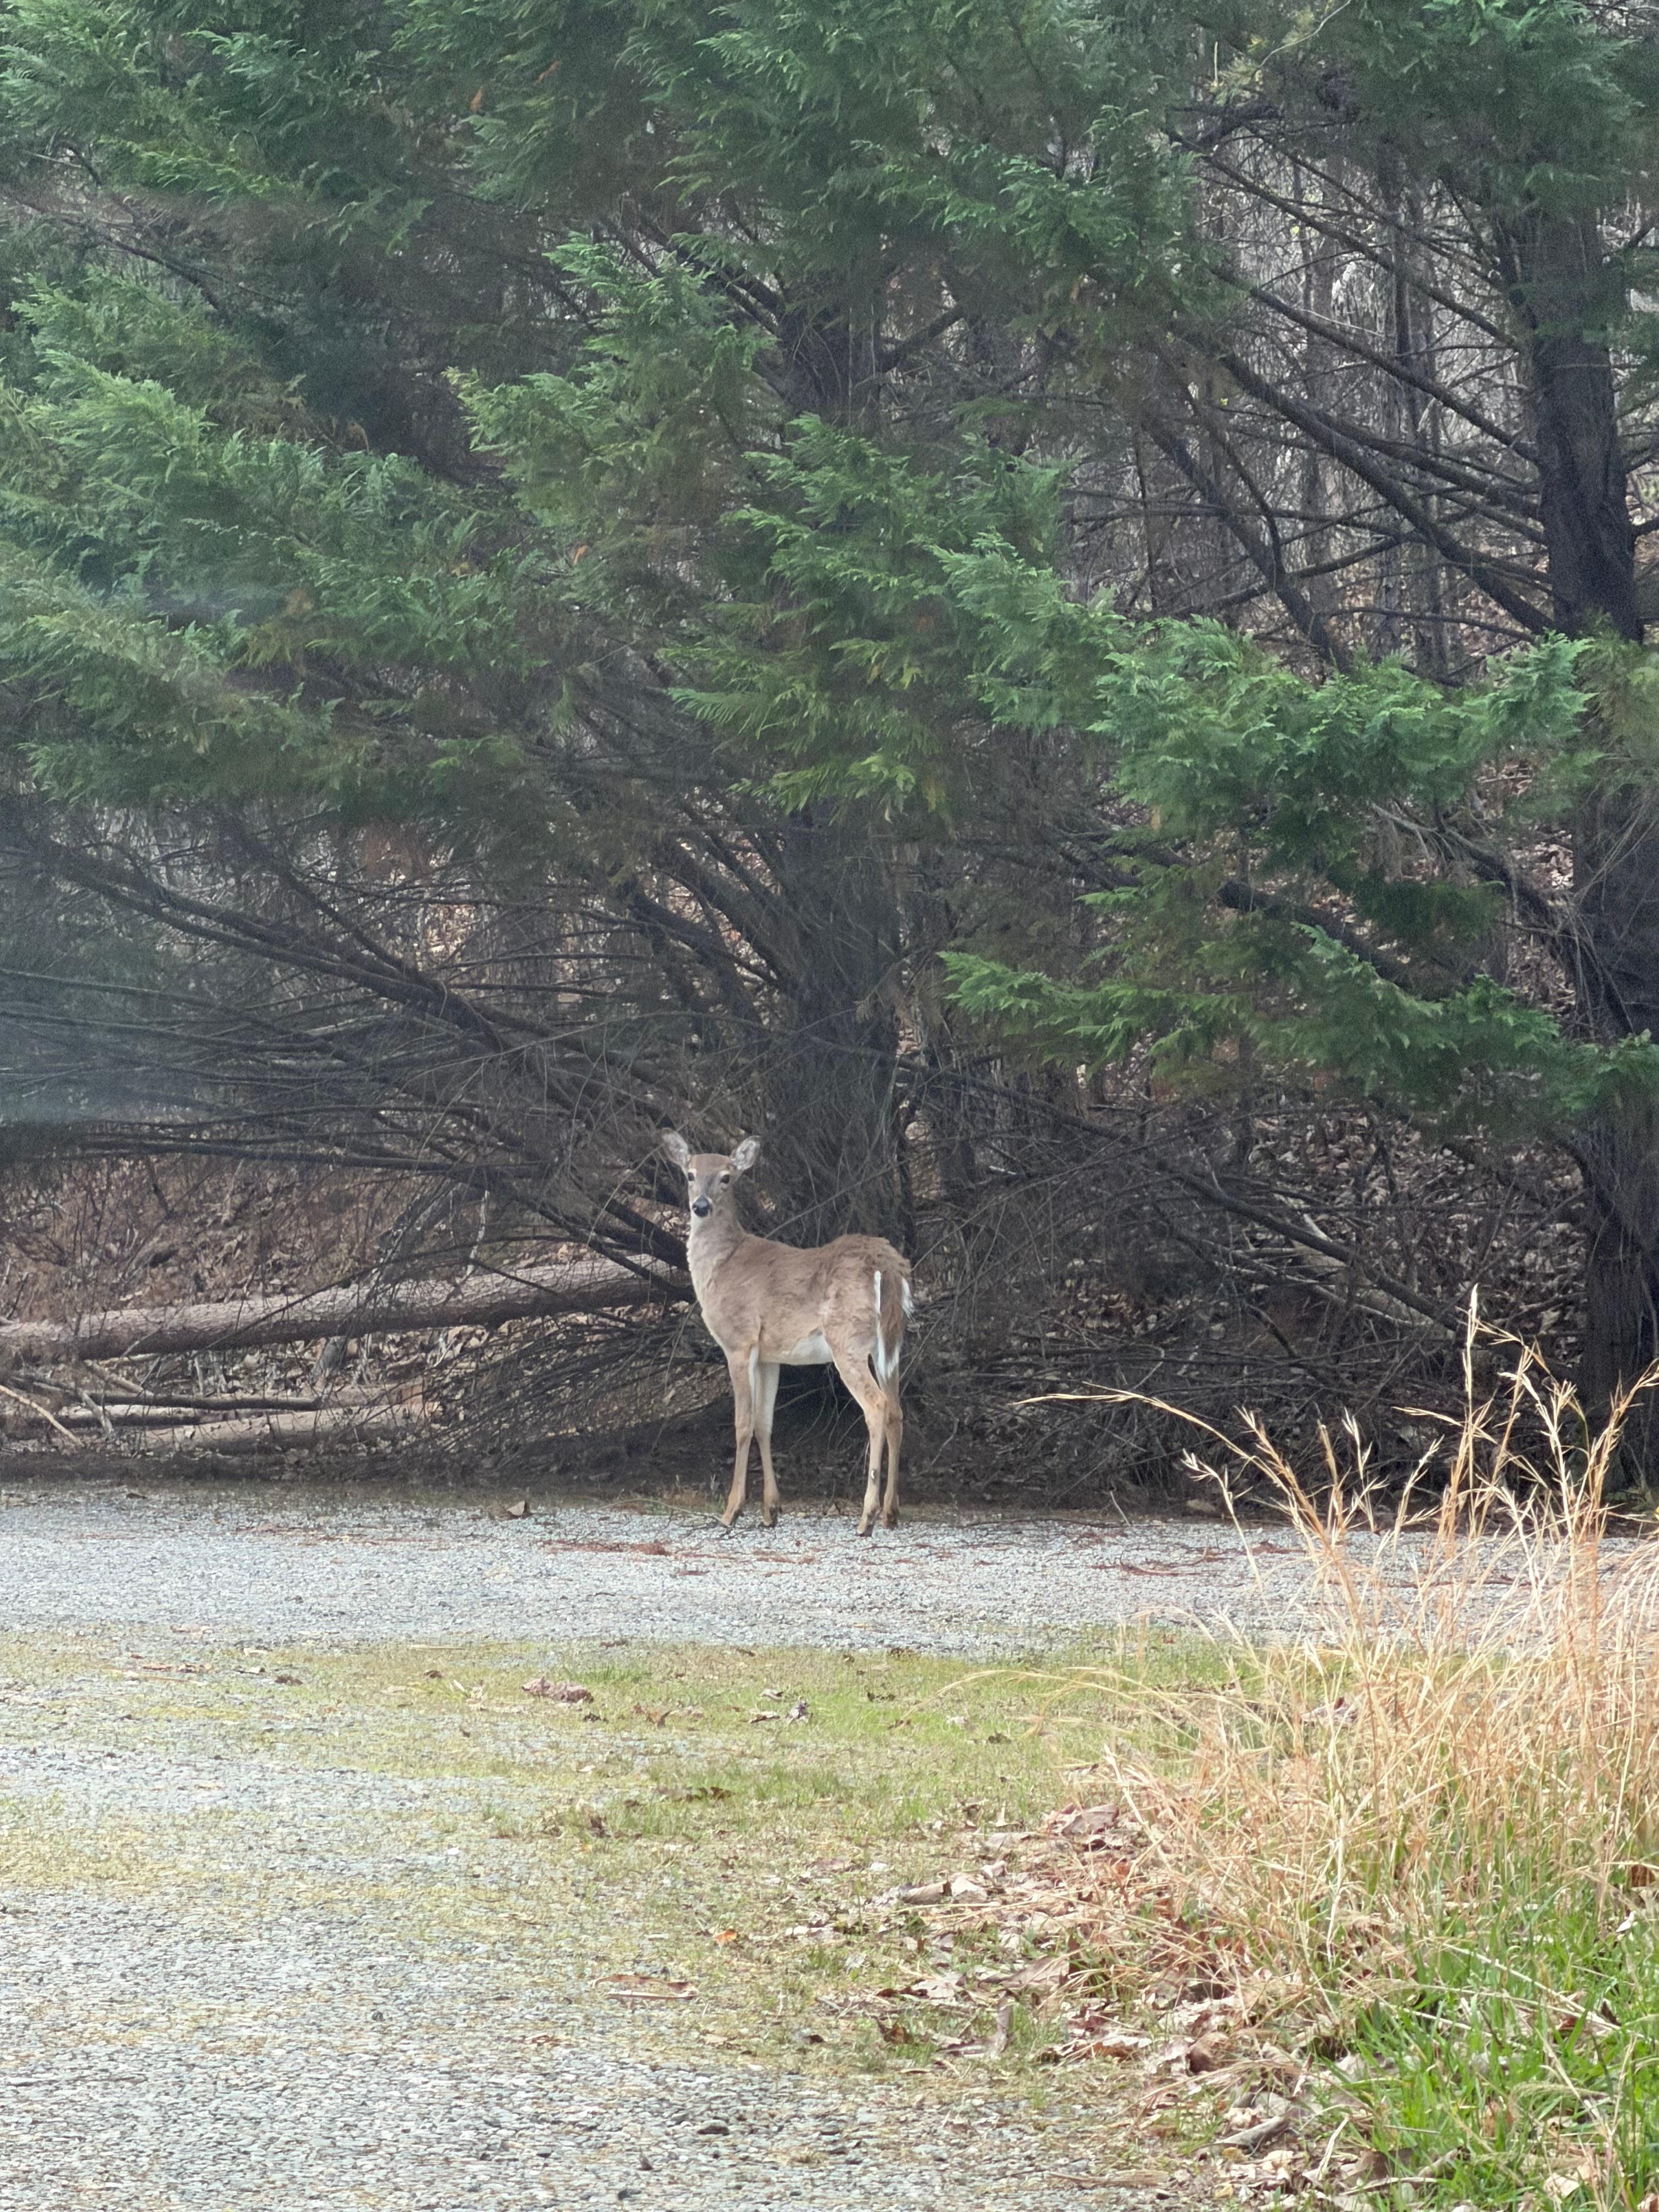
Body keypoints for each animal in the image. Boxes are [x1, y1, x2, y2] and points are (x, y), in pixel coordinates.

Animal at [662, 1132, 912, 1534]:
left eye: (727, 1177)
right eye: (690, 1174)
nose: (700, 1206)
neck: (720, 1268)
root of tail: (887, 1267)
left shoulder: (739, 1340)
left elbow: (743, 1423)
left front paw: (732, 1511)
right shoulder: (770, 1356)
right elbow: (765, 1424)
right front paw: (771, 1510)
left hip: (846, 1340)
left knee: (876, 1406)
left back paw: (867, 1516)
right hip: (891, 1343)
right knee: (897, 1411)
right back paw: (890, 1513)